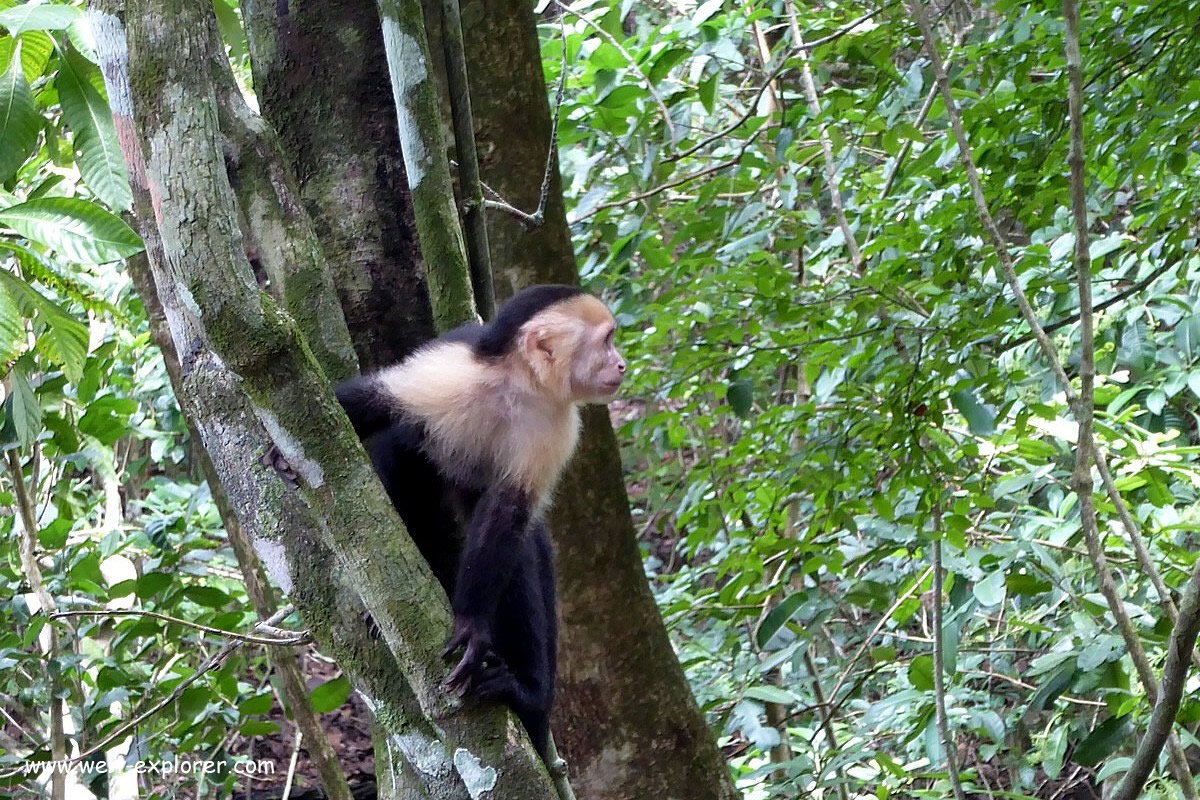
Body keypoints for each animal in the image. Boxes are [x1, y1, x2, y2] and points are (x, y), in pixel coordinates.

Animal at [333, 286, 624, 758]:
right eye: (607, 341)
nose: (622, 365)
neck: (518, 386)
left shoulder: (554, 425)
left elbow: (507, 514)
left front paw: (471, 623)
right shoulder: (450, 373)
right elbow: (367, 403)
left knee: (522, 552)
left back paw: (527, 693)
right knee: (403, 452)